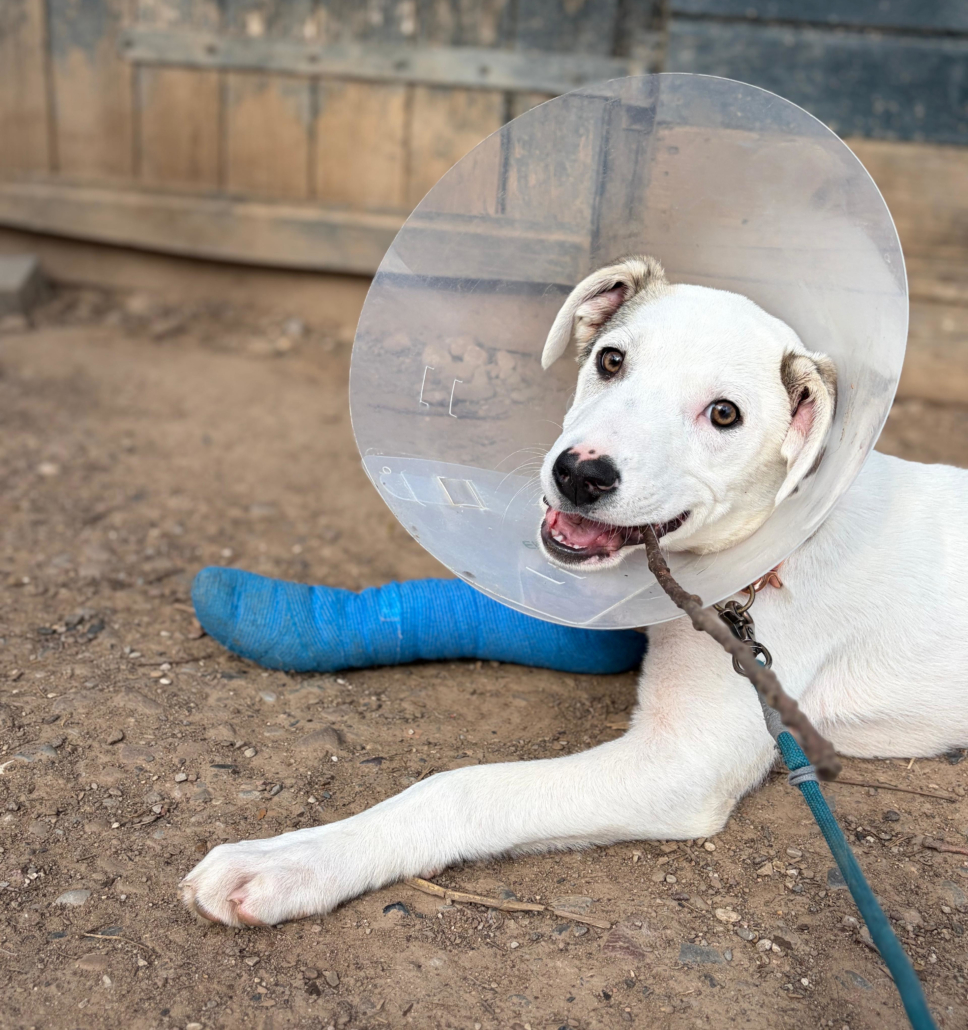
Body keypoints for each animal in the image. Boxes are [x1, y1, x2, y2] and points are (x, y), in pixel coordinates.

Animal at [180, 256, 968, 927]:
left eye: (724, 415)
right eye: (611, 360)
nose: (580, 474)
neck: (770, 557)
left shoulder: (681, 762)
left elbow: (462, 787)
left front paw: (293, 862)